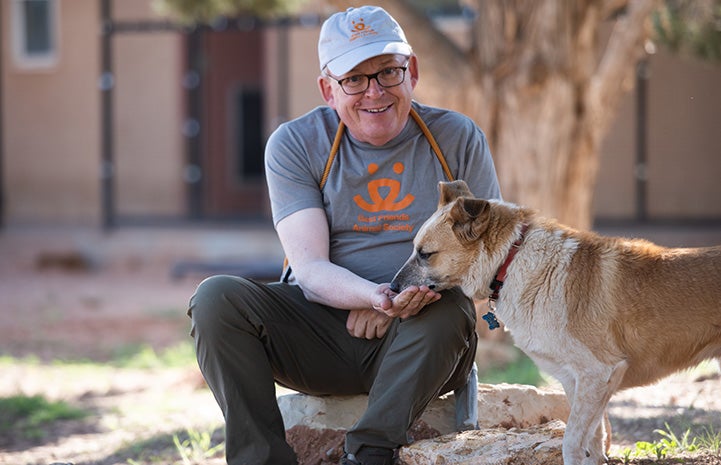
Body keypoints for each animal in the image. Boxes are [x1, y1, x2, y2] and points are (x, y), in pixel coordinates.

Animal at [390, 180, 720, 464]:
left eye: (425, 254)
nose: (392, 288)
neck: (512, 259)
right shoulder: (579, 382)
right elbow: (593, 442)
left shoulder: (597, 373)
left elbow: (572, 442)